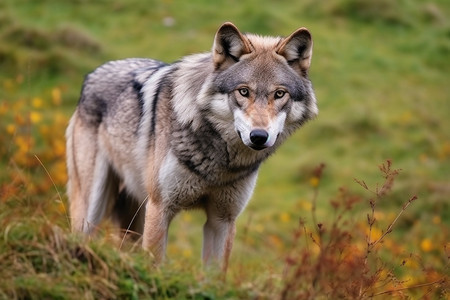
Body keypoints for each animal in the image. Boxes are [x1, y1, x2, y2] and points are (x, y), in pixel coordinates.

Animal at [67, 21, 318, 272]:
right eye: (244, 91)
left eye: (280, 94)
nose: (259, 136)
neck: (218, 162)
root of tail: (92, 75)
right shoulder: (160, 207)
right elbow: (155, 264)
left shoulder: (223, 219)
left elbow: (215, 275)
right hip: (93, 206)